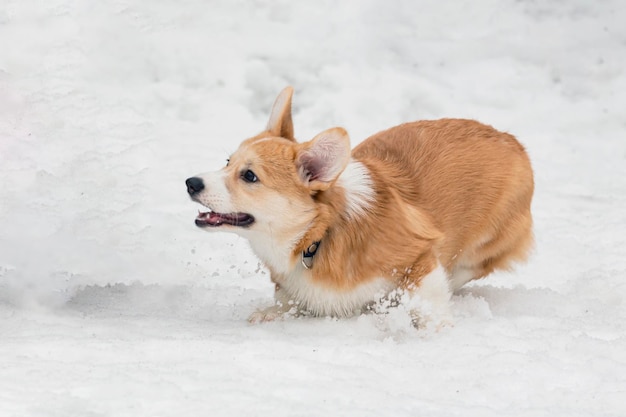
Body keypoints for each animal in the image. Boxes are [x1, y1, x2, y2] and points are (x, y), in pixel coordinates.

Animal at [185, 88, 532, 326]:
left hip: (484, 245)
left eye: (249, 176)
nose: (191, 182)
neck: (316, 237)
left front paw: (431, 328)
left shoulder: (419, 254)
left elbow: (427, 299)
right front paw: (269, 313)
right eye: (227, 162)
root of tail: (513, 141)